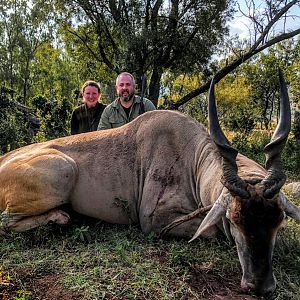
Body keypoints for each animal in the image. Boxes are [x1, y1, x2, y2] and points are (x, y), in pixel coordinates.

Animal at [0, 69, 300, 296]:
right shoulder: (153, 221)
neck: (192, 157)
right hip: (65, 169)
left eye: (279, 220)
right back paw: (60, 217)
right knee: (6, 222)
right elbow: (212, 232)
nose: (260, 286)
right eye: (234, 219)